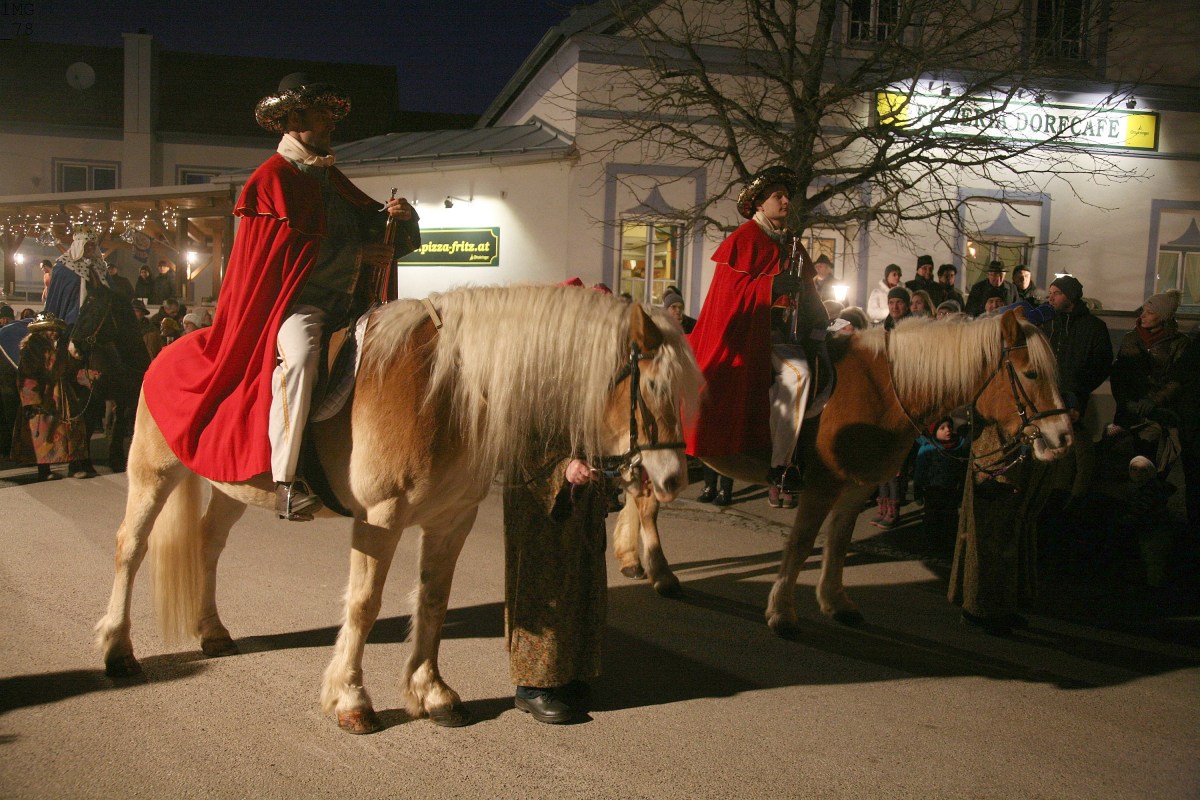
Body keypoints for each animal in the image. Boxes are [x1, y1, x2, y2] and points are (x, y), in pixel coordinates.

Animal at [70, 280, 151, 472]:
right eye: (81, 309)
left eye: (95, 311)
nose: (73, 347)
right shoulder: (94, 395)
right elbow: (89, 423)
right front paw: (85, 465)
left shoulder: (126, 396)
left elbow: (120, 423)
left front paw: (116, 459)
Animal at [94, 284, 700, 733]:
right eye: (651, 386)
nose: (673, 478)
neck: (448, 389)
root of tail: (178, 341)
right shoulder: (379, 520)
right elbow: (364, 605)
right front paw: (350, 699)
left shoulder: (452, 520)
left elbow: (433, 601)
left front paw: (431, 693)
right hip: (154, 472)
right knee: (129, 545)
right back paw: (117, 649)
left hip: (229, 486)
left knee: (207, 543)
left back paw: (212, 630)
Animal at [612, 307, 1074, 636]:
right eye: (1031, 373)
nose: (1064, 436)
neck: (885, 388)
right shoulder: (821, 486)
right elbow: (801, 544)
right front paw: (782, 611)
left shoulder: (856, 487)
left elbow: (838, 541)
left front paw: (835, 602)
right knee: (647, 504)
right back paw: (662, 574)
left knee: (640, 497)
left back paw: (637, 560)